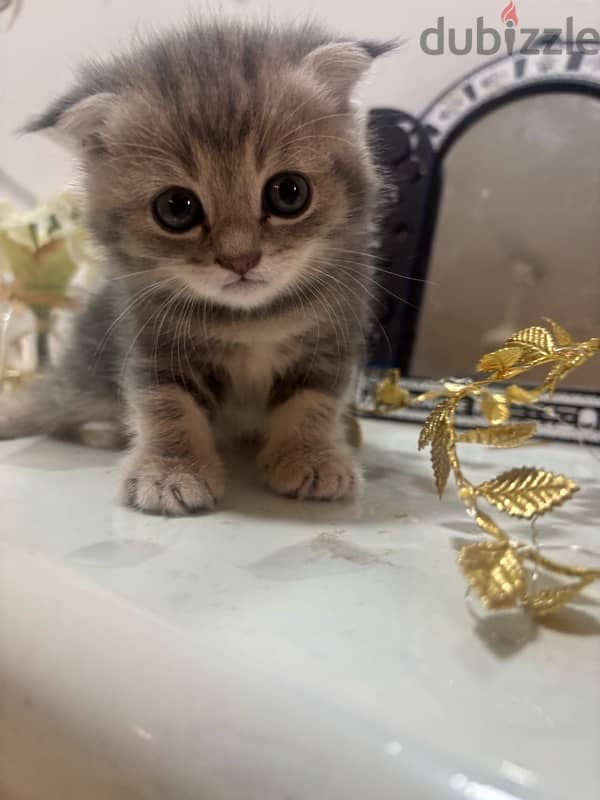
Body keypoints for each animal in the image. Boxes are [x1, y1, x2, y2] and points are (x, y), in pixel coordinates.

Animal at [1, 25, 394, 516]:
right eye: (176, 208)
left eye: (289, 192)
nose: (240, 258)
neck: (253, 318)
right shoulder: (151, 338)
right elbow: (166, 403)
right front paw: (169, 471)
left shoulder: (333, 333)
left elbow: (314, 400)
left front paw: (312, 456)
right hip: (86, 374)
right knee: (60, 412)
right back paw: (105, 429)